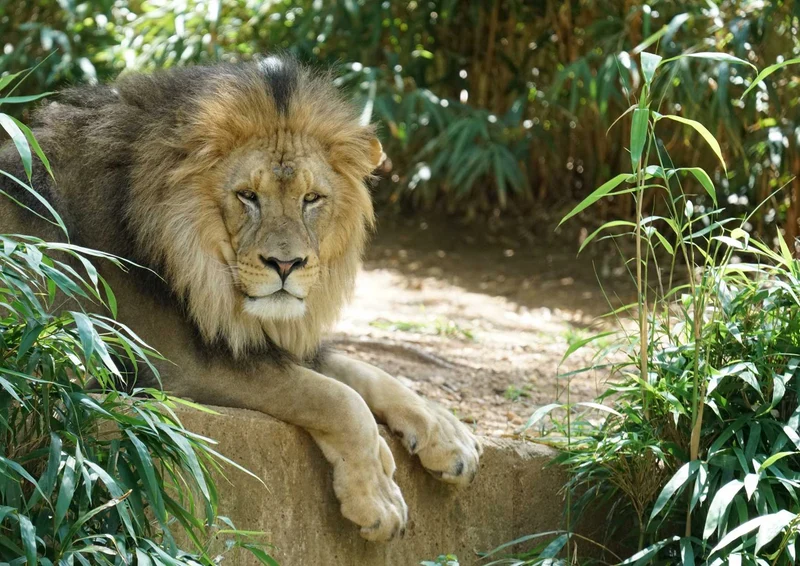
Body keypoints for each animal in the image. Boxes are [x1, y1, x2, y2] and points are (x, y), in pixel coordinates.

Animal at [0, 56, 481, 541]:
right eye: (248, 196)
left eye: (312, 199)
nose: (286, 264)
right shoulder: (173, 366)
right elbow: (334, 396)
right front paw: (378, 498)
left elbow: (362, 371)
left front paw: (447, 433)